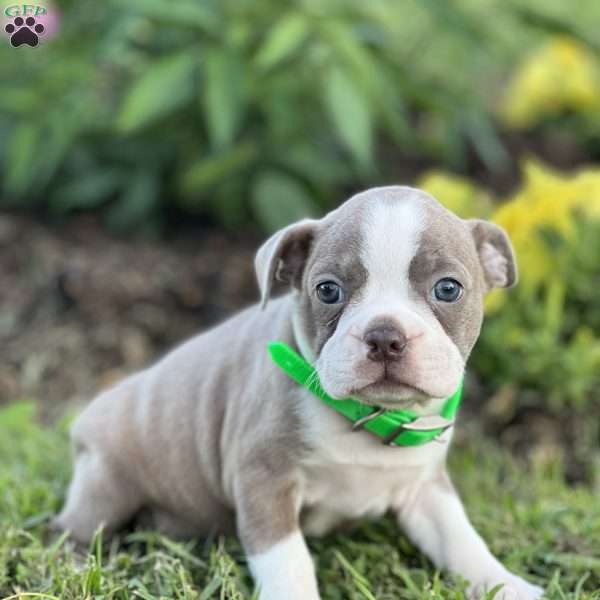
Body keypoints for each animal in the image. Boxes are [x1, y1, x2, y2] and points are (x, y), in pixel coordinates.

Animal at [56, 185, 544, 596]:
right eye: (327, 290)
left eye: (448, 288)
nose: (385, 336)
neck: (365, 416)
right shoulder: (264, 481)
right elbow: (288, 563)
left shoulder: (425, 488)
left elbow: (461, 539)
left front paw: (507, 584)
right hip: (106, 480)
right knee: (72, 528)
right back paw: (76, 566)